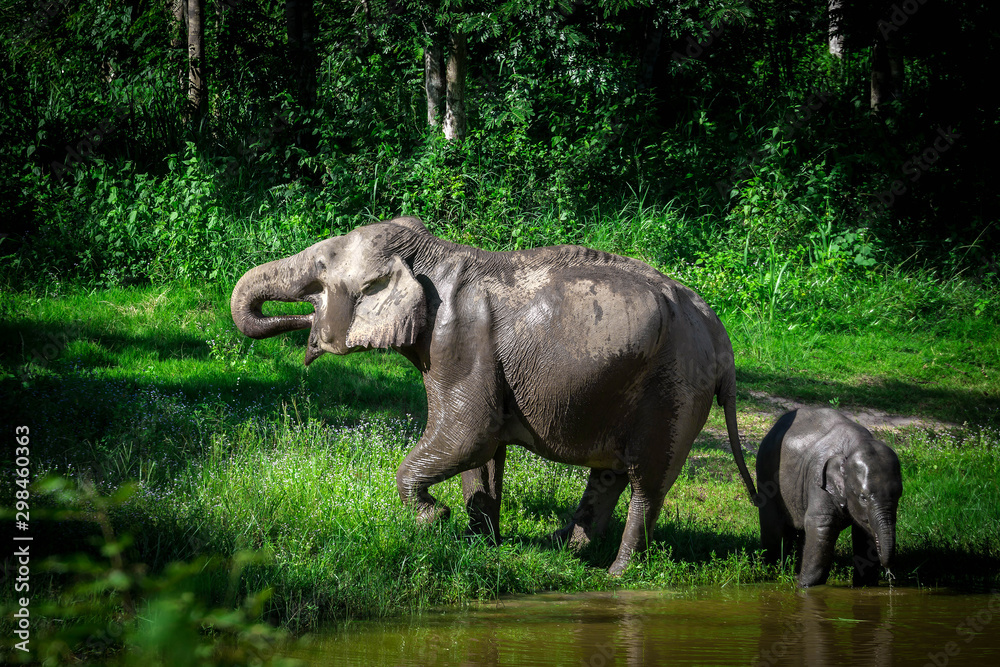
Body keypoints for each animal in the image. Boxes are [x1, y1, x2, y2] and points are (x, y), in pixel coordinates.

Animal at [230, 216, 758, 574]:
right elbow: (481, 455)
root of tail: (721, 337)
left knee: (648, 483)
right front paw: (481, 545)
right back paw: (562, 549)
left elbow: (471, 433)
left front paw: (433, 519)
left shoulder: (458, 338)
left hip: (676, 390)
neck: (429, 252)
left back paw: (615, 574)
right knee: (608, 475)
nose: (305, 328)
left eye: (320, 267)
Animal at [755, 407, 903, 587]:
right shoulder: (818, 481)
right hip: (765, 472)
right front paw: (804, 586)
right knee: (773, 528)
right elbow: (821, 526)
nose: (888, 571)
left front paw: (863, 586)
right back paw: (772, 570)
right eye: (863, 497)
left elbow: (864, 534)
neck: (855, 444)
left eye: (899, 495)